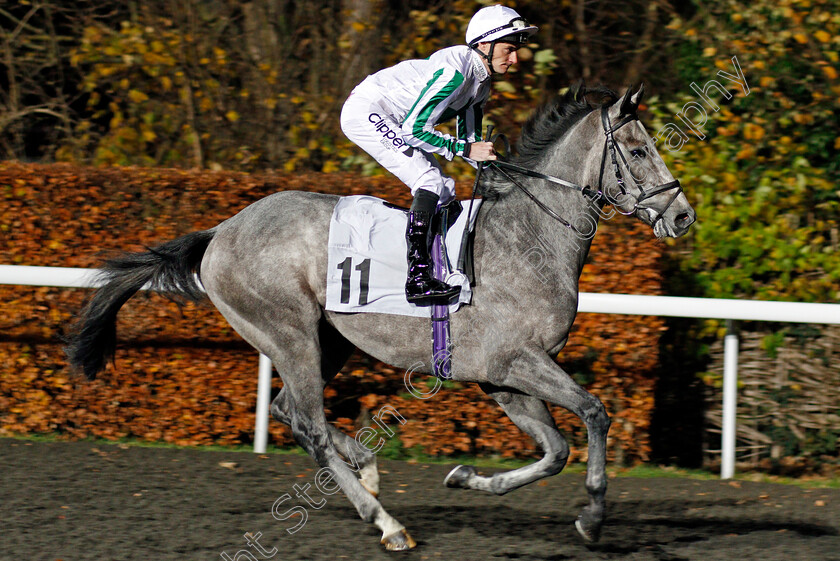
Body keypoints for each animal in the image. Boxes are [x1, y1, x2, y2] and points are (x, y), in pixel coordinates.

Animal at [67, 85, 696, 548]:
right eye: (639, 150)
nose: (683, 215)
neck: (529, 238)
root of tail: (221, 231)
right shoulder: (516, 362)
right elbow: (594, 413)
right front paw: (592, 517)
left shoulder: (501, 378)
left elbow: (555, 451)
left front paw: (470, 477)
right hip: (289, 331)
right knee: (308, 422)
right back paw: (385, 521)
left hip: (329, 340)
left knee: (290, 409)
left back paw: (367, 468)